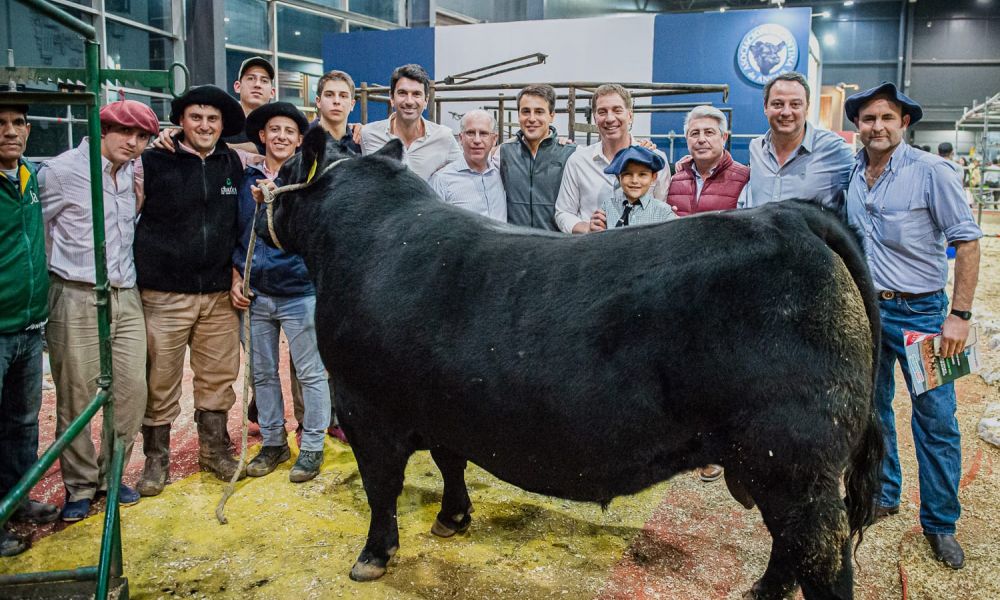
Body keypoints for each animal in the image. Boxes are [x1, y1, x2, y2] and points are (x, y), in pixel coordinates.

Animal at [260, 131, 884, 600]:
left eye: (285, 162)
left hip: (795, 460)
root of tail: (788, 218)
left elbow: (381, 487)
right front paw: (453, 518)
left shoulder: (363, 405)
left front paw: (372, 555)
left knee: (820, 557)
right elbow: (450, 460)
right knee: (788, 549)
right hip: (780, 465)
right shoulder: (445, 403)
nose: (262, 183)